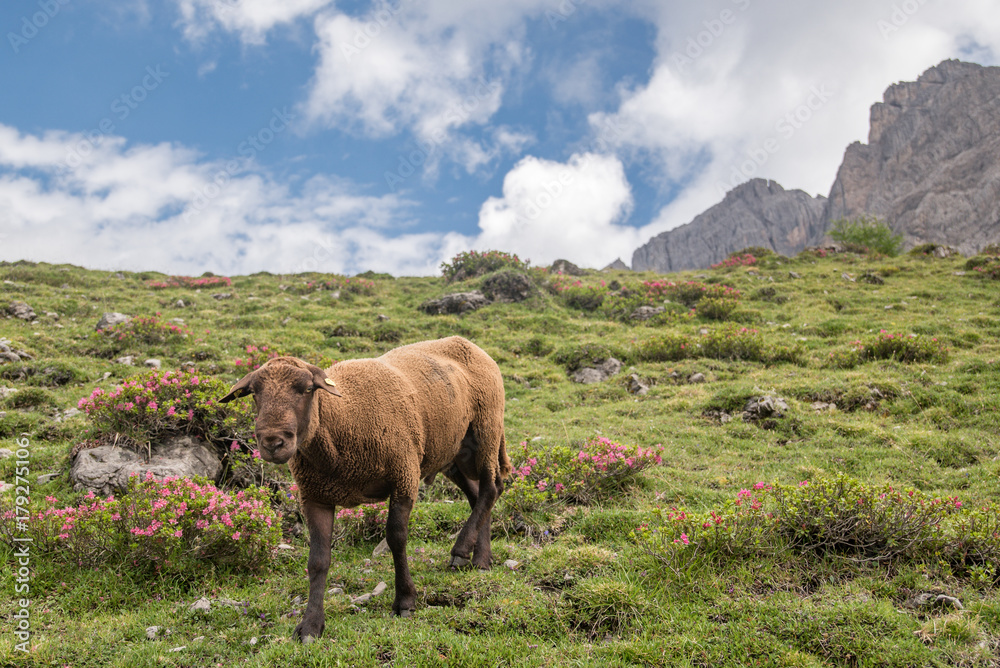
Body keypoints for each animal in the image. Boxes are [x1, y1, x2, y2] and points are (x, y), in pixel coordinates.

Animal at [219, 336, 511, 642]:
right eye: (254, 393)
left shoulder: (404, 475)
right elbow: (318, 561)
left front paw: (405, 601)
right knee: (478, 496)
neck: (342, 418)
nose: (273, 442)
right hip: (453, 452)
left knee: (491, 488)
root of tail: (466, 343)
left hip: (486, 430)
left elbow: (396, 538)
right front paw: (310, 625)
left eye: (308, 389)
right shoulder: (315, 496)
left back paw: (462, 550)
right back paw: (481, 559)